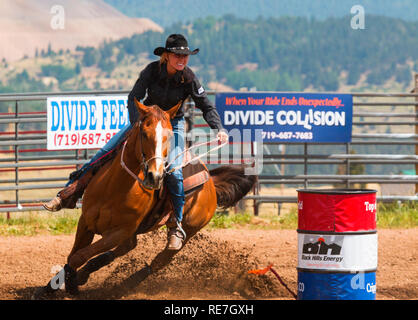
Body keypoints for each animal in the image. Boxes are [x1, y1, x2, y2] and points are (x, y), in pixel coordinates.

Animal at [33, 98, 255, 298]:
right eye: (144, 133)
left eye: (169, 137)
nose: (155, 176)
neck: (113, 188)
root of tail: (210, 182)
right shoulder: (86, 222)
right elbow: (73, 255)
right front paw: (52, 287)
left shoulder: (119, 231)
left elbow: (78, 256)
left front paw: (71, 285)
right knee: (126, 248)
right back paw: (84, 274)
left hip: (189, 230)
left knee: (159, 261)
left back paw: (120, 287)